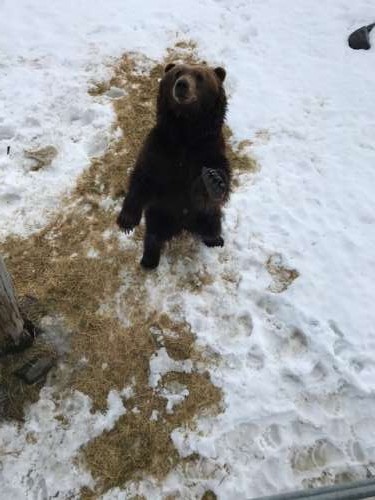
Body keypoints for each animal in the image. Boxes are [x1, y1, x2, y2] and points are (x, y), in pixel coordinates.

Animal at [117, 63, 232, 270]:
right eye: (177, 72)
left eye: (200, 76)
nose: (182, 85)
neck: (185, 132)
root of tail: (183, 226)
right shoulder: (159, 148)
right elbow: (142, 176)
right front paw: (126, 220)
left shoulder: (209, 148)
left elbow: (220, 175)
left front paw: (213, 180)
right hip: (160, 213)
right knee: (153, 235)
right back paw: (149, 259)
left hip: (205, 214)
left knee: (212, 224)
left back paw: (215, 239)